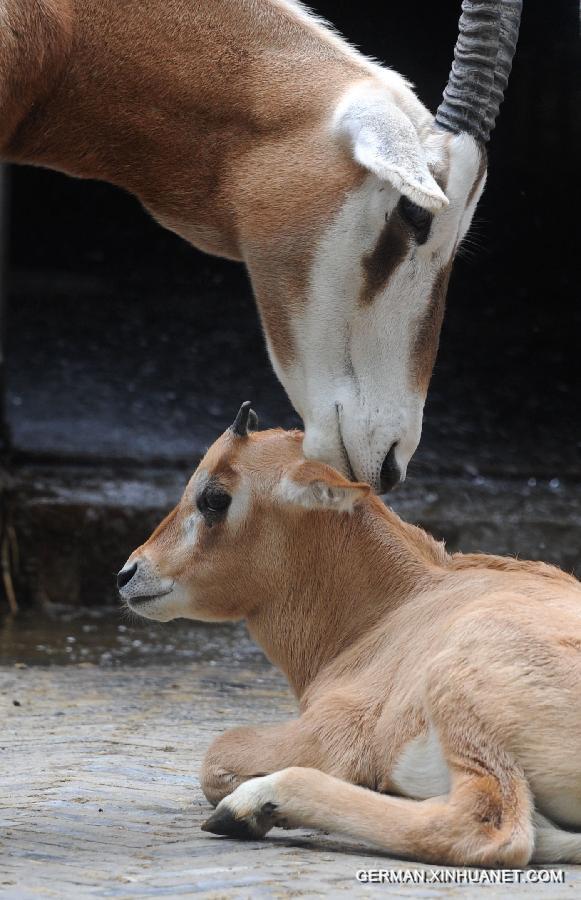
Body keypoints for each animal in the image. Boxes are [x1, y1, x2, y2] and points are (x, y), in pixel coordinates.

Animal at [118, 404, 580, 868]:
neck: (394, 606)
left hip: (457, 687)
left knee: (489, 828)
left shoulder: (332, 733)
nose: (128, 574)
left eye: (215, 498)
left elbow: (218, 752)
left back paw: (252, 806)